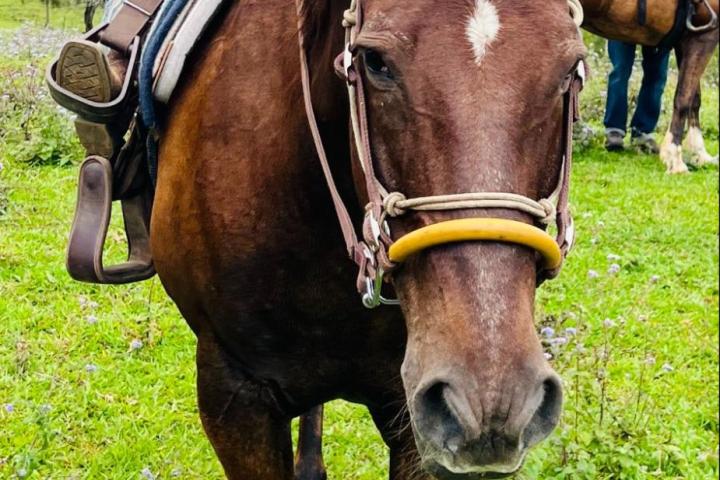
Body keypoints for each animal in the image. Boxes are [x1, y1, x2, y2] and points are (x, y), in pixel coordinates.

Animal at [580, 0, 719, 173]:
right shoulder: (704, 35)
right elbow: (683, 100)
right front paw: (675, 160)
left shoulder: (685, 39)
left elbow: (694, 99)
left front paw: (699, 154)